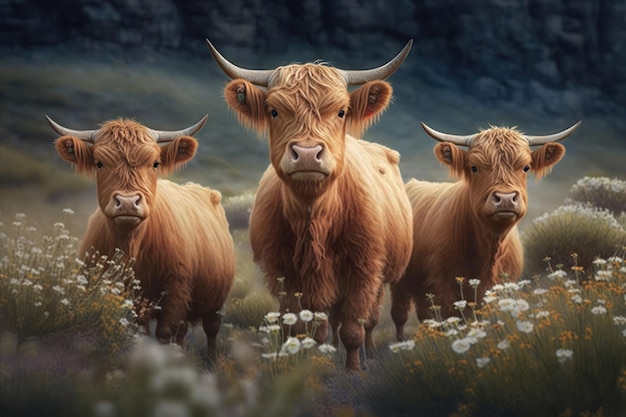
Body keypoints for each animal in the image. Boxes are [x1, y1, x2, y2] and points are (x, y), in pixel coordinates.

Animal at [47, 115, 235, 360]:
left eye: (155, 163)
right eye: (99, 163)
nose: (128, 202)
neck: (132, 247)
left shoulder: (176, 289)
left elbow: (164, 333)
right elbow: (141, 334)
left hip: (216, 301)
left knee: (211, 330)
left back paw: (212, 361)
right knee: (183, 331)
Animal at [207, 40, 414, 368]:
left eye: (341, 111)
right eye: (274, 111)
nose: (307, 154)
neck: (314, 218)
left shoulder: (364, 270)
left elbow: (354, 327)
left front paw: (354, 370)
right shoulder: (284, 274)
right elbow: (304, 327)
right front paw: (311, 363)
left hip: (383, 274)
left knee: (369, 320)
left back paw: (368, 354)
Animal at [390, 119, 580, 338]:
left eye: (526, 167)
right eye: (474, 167)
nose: (505, 198)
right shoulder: (442, 286)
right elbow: (450, 320)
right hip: (401, 281)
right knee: (400, 316)